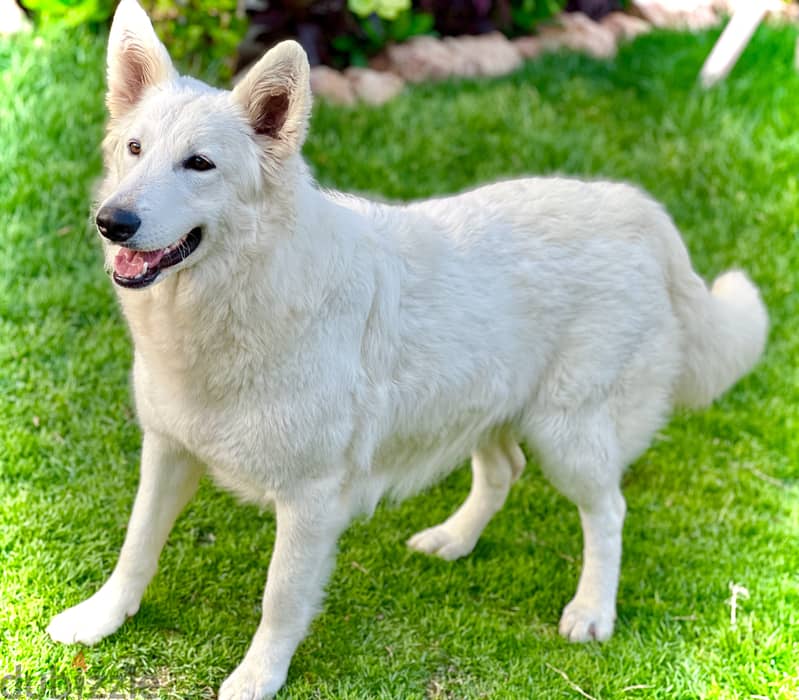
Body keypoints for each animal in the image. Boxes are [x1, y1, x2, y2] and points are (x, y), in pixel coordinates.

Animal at [47, 2, 772, 696]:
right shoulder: (169, 450)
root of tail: (636, 207)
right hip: (481, 402)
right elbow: (136, 546)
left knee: (607, 511)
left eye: (199, 164)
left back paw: (592, 611)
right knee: (503, 470)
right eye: (135, 149)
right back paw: (453, 539)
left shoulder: (310, 500)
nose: (113, 222)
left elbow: (279, 601)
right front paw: (100, 619)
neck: (241, 293)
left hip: (567, 434)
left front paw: (258, 678)